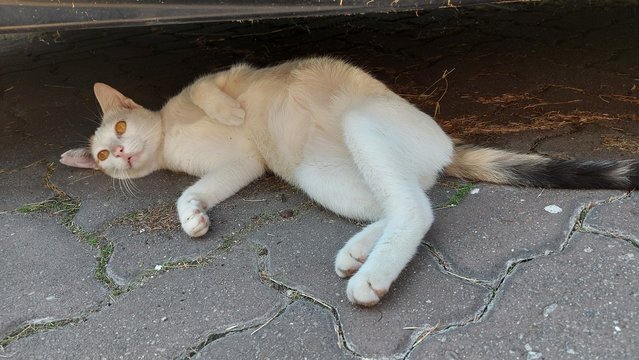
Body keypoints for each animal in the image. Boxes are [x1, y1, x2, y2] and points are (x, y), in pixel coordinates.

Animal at [61, 57, 639, 306]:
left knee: (415, 208)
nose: (122, 155)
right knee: (405, 204)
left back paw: (371, 275)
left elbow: (212, 91)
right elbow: (194, 189)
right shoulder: (240, 167)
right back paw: (359, 254)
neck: (169, 138)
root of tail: (445, 145)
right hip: (320, 174)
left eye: (119, 127)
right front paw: (192, 217)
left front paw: (229, 113)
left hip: (360, 123)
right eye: (104, 155)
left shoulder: (224, 77)